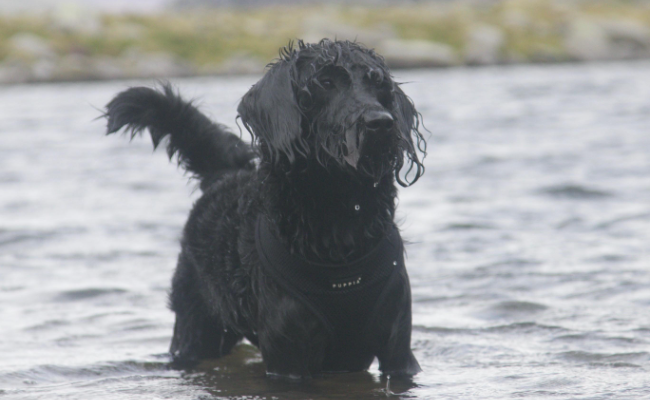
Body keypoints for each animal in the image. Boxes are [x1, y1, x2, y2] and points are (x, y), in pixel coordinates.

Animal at [103, 39, 422, 380]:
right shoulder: (288, 355)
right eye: (324, 83)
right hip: (195, 329)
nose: (381, 122)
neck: (341, 223)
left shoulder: (398, 351)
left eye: (379, 84)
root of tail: (224, 175)